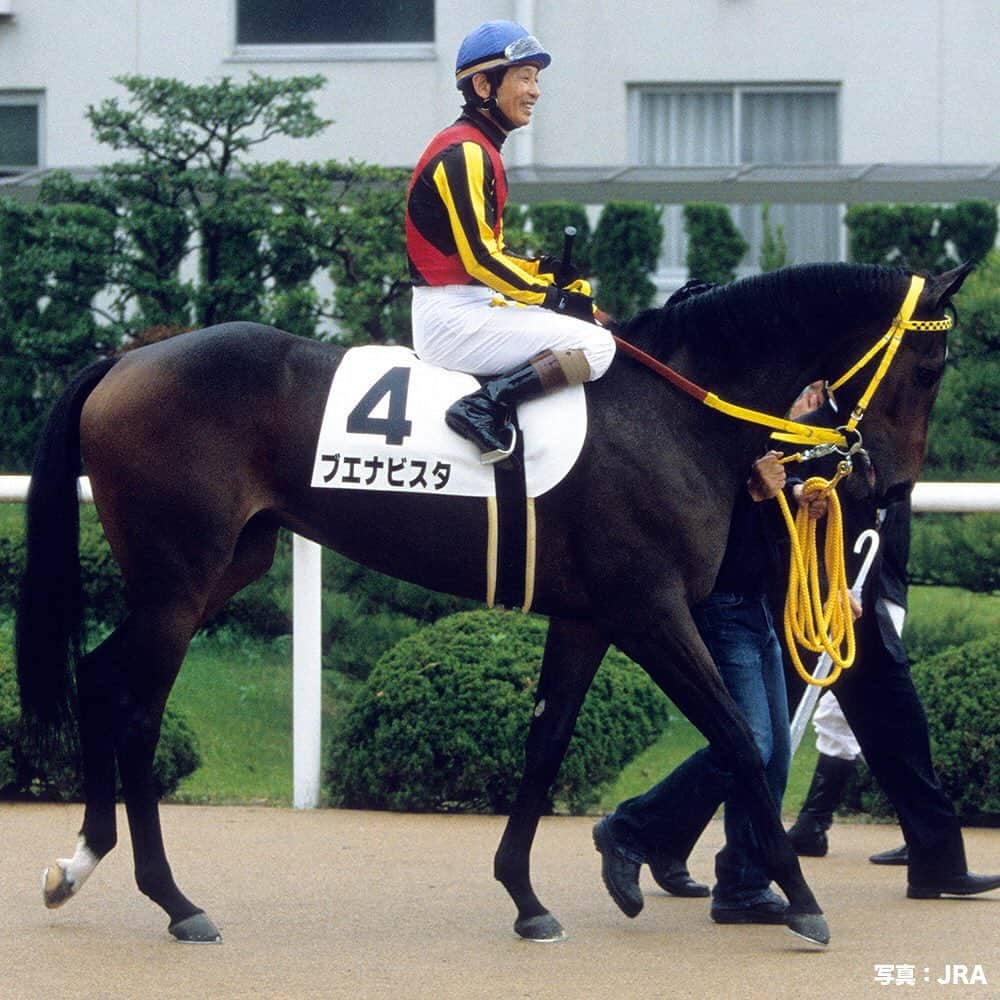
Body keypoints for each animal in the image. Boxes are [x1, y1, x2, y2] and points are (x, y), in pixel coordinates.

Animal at [16, 261, 969, 946]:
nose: (889, 486)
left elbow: (546, 745)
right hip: (180, 584)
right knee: (136, 712)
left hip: (213, 572)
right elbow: (737, 737)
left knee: (98, 679)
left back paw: (78, 863)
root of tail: (130, 356)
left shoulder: (588, 617)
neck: (670, 409)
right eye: (929, 367)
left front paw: (525, 895)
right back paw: (174, 900)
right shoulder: (651, 612)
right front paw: (802, 898)